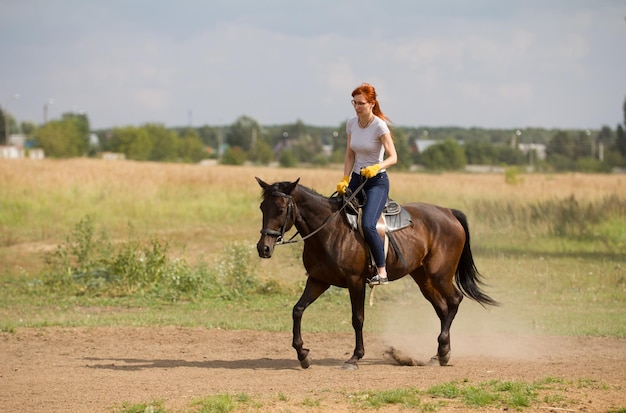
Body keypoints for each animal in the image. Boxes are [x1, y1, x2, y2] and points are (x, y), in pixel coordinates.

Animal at [255, 175, 498, 368]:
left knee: (455, 300)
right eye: (262, 208)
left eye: (280, 209)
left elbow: (357, 318)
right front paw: (303, 354)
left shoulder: (355, 282)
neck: (329, 229)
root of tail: (449, 212)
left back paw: (444, 352)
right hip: (424, 279)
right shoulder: (318, 280)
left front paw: (355, 357)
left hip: (441, 275)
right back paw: (438, 353)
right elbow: (297, 310)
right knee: (443, 309)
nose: (263, 248)